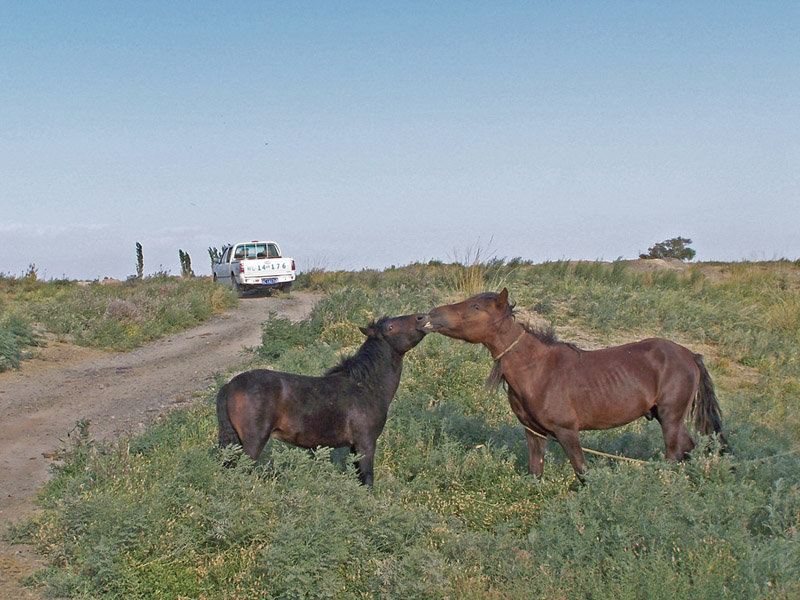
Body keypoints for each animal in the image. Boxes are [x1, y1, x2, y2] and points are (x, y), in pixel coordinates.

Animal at [219, 312, 428, 486]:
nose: (421, 317)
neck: (366, 385)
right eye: (390, 327)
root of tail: (229, 386)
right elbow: (367, 479)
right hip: (252, 443)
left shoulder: (354, 447)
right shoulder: (365, 443)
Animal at [418, 288, 732, 480]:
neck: (539, 370)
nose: (429, 316)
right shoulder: (534, 432)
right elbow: (535, 471)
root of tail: (690, 355)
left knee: (674, 454)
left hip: (671, 417)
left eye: (475, 306)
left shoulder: (567, 432)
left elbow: (582, 472)